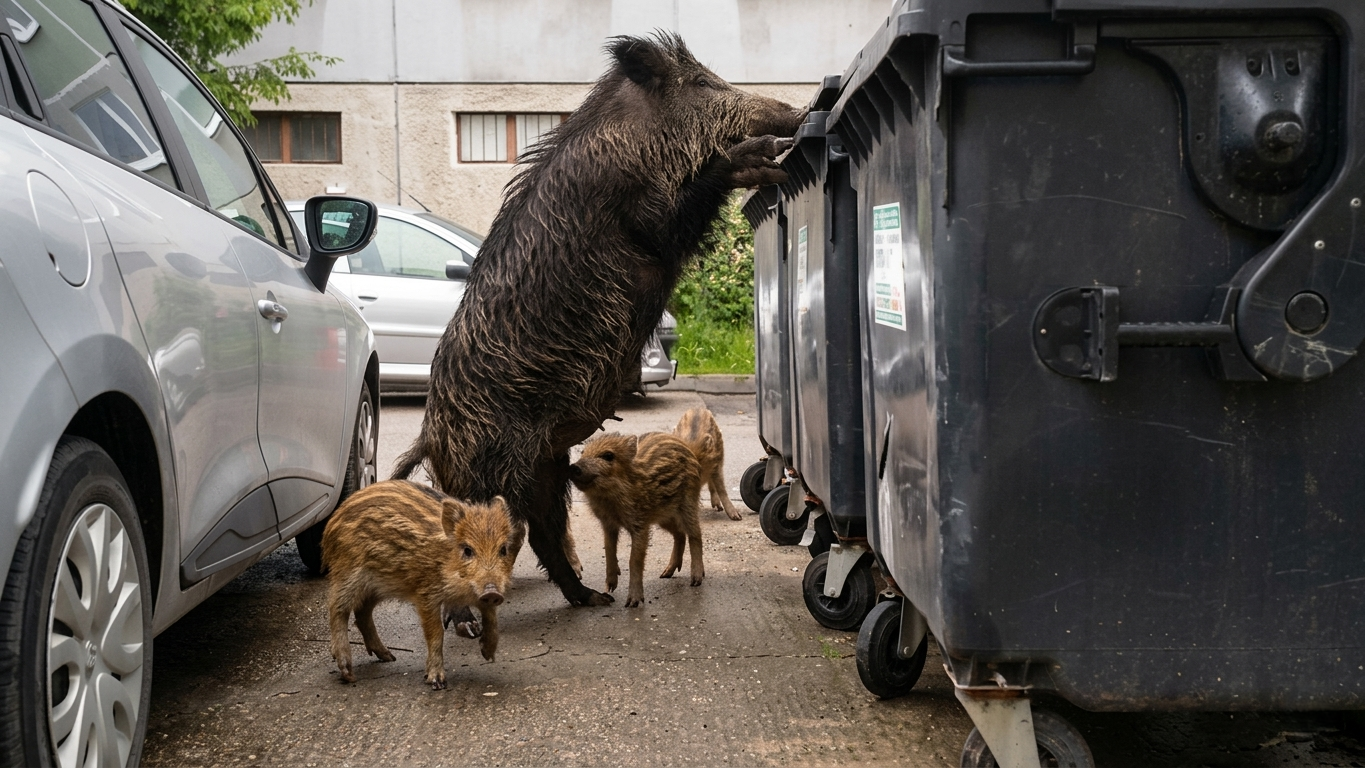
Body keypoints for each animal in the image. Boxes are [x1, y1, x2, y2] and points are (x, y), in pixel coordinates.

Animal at [322, 480, 514, 690]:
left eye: (503, 549)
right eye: (467, 550)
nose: (492, 592)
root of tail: (332, 521)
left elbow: (492, 619)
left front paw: (488, 654)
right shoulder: (426, 593)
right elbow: (436, 633)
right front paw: (437, 682)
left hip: (380, 584)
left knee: (362, 612)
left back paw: (388, 657)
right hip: (348, 572)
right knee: (337, 607)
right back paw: (348, 672)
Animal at [569, 432, 703, 607]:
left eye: (608, 456)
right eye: (583, 452)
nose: (573, 467)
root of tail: (689, 450)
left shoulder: (640, 524)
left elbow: (634, 559)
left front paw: (633, 602)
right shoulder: (608, 523)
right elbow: (608, 549)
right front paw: (609, 588)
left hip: (688, 502)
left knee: (695, 534)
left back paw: (696, 579)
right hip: (663, 515)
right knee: (680, 533)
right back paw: (666, 573)